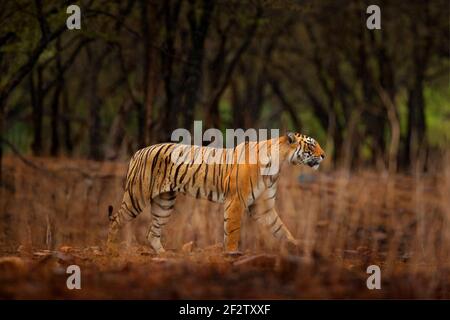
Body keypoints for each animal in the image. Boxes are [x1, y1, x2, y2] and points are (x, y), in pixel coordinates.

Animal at [106, 131, 324, 255]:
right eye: (311, 145)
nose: (323, 155)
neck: (278, 164)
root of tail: (138, 151)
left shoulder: (263, 208)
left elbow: (282, 230)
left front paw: (296, 247)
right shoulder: (236, 201)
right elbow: (233, 232)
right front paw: (232, 255)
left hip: (164, 202)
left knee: (152, 232)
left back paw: (164, 255)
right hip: (136, 196)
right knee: (115, 220)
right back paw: (111, 250)